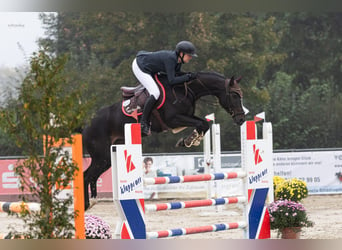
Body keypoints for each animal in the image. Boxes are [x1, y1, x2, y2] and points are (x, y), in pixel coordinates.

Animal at [81, 71, 244, 210]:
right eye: (234, 95)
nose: (241, 119)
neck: (185, 90)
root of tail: (87, 124)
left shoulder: (185, 117)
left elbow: (203, 123)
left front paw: (190, 140)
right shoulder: (173, 119)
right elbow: (202, 123)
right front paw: (190, 140)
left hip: (107, 157)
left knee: (91, 176)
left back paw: (93, 201)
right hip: (102, 156)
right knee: (87, 176)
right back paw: (87, 204)